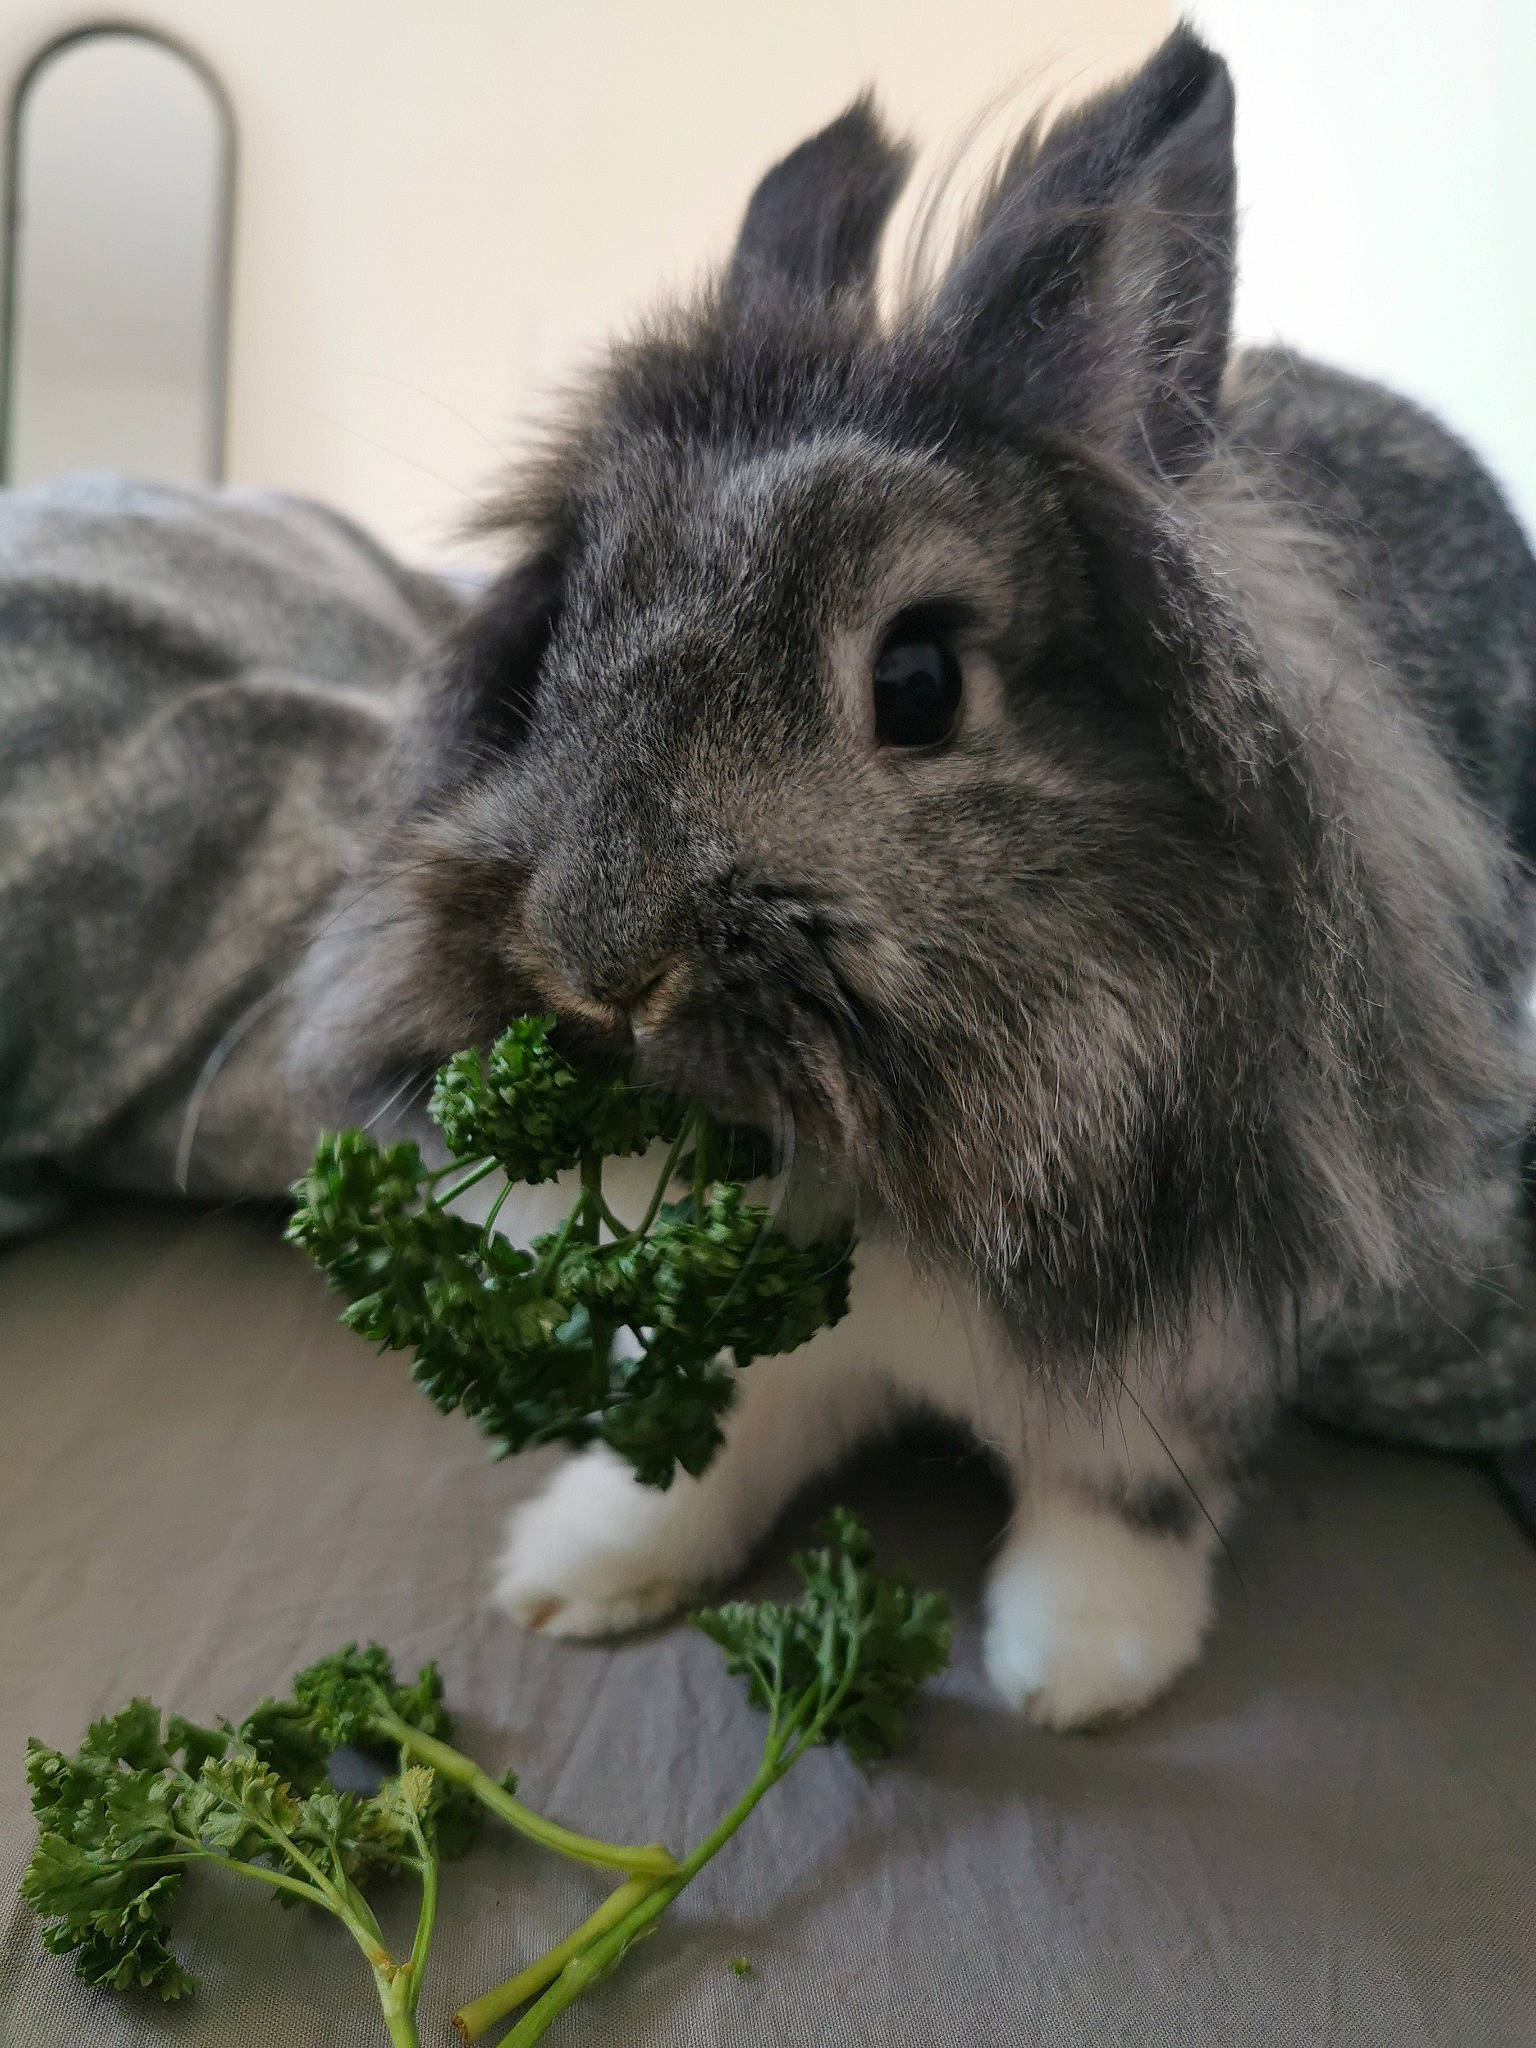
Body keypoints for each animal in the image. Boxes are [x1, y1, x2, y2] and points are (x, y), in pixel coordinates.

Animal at [292, 25, 1536, 1728]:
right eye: (547, 654)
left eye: (923, 680)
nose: (600, 968)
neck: (892, 1161)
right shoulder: (748, 1353)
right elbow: (707, 1438)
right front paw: (583, 1569)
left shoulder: (1181, 1340)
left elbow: (1123, 1489)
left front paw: (1079, 1666)